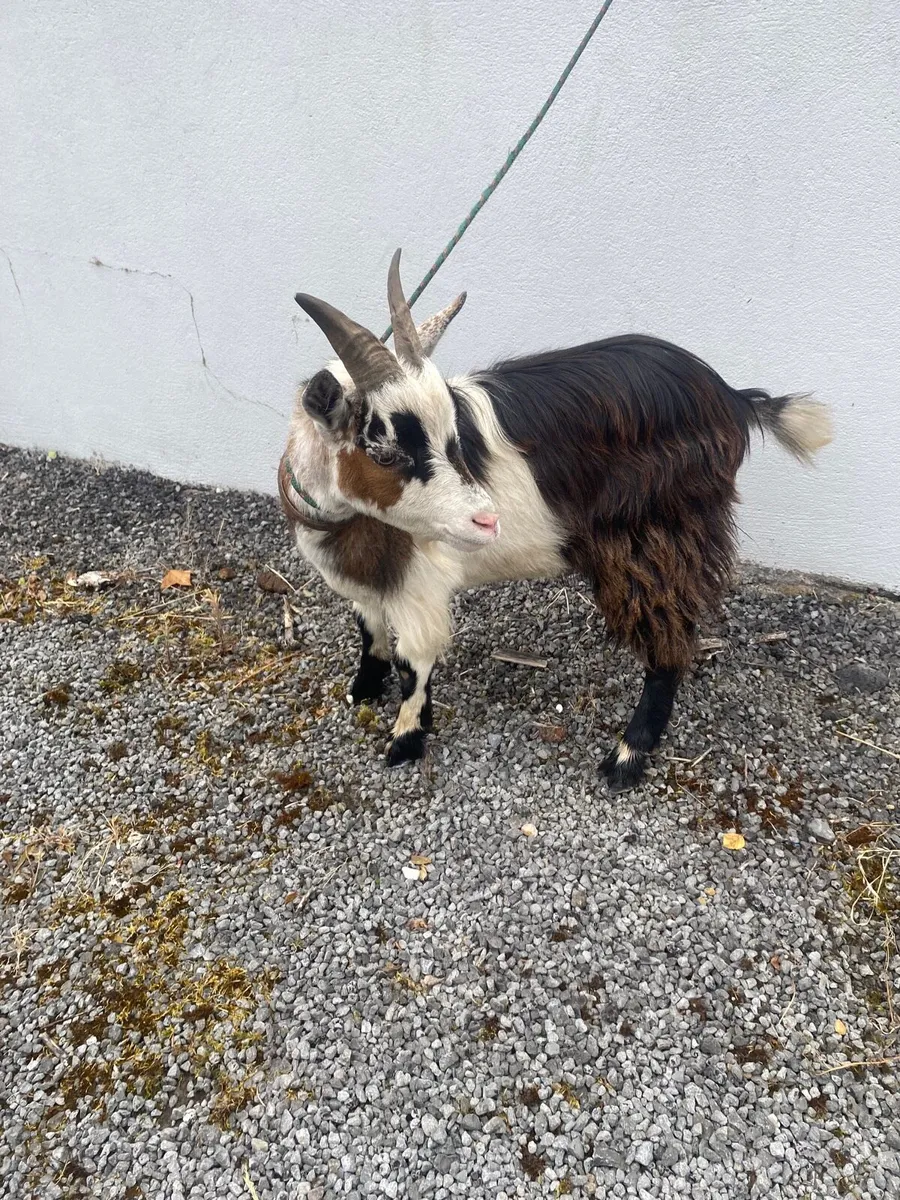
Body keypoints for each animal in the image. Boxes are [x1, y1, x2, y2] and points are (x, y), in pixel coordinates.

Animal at [279, 251, 832, 789]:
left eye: (451, 439)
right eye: (385, 453)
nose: (487, 522)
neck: (341, 521)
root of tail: (732, 397)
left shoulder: (420, 587)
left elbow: (412, 662)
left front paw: (404, 742)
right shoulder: (369, 581)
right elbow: (369, 630)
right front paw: (362, 690)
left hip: (660, 533)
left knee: (670, 637)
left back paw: (627, 758)